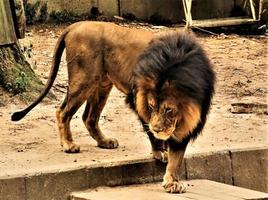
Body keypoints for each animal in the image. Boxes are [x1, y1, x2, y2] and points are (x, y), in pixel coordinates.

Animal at [11, 21, 215, 194]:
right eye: (151, 106)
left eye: (169, 109)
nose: (158, 129)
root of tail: (75, 26)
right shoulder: (137, 99)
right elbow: (154, 135)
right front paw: (160, 152)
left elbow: (177, 155)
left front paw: (172, 180)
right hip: (84, 79)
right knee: (63, 111)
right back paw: (68, 145)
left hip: (102, 84)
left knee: (89, 117)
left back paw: (104, 141)